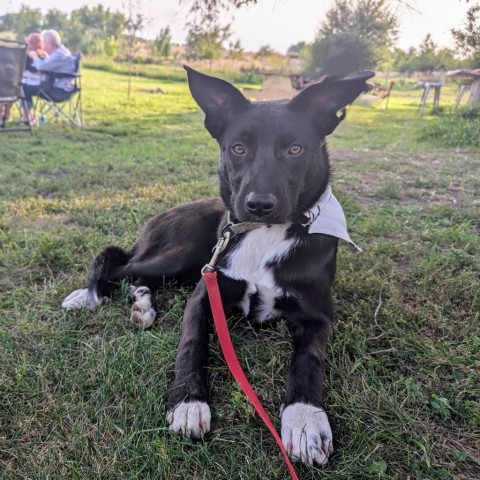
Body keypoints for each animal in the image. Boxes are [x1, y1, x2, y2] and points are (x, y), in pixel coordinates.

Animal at [62, 67, 374, 464]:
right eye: (238, 148)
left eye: (295, 149)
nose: (259, 205)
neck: (264, 235)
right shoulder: (202, 294)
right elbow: (192, 344)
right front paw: (188, 402)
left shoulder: (318, 316)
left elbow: (309, 361)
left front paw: (305, 419)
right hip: (182, 254)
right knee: (123, 265)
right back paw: (90, 297)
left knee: (137, 273)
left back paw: (142, 306)